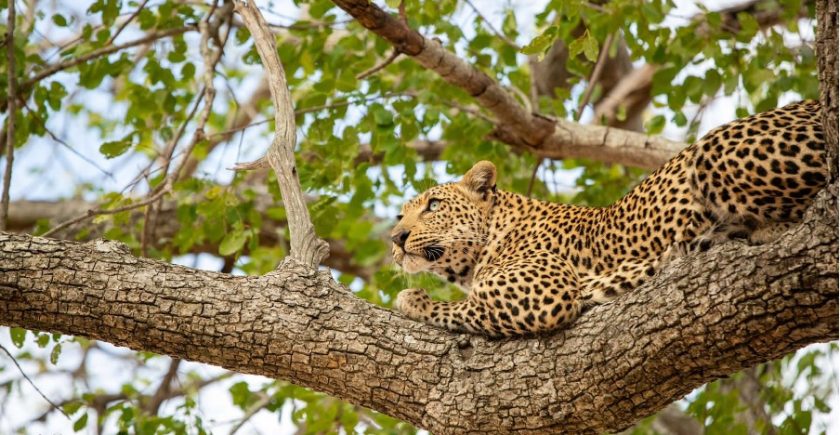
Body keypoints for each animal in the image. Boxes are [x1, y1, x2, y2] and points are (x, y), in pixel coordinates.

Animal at [388, 99, 828, 338]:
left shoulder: (547, 292)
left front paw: (413, 299)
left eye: (433, 205)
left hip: (711, 151)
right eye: (399, 214)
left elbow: (463, 309)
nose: (396, 238)